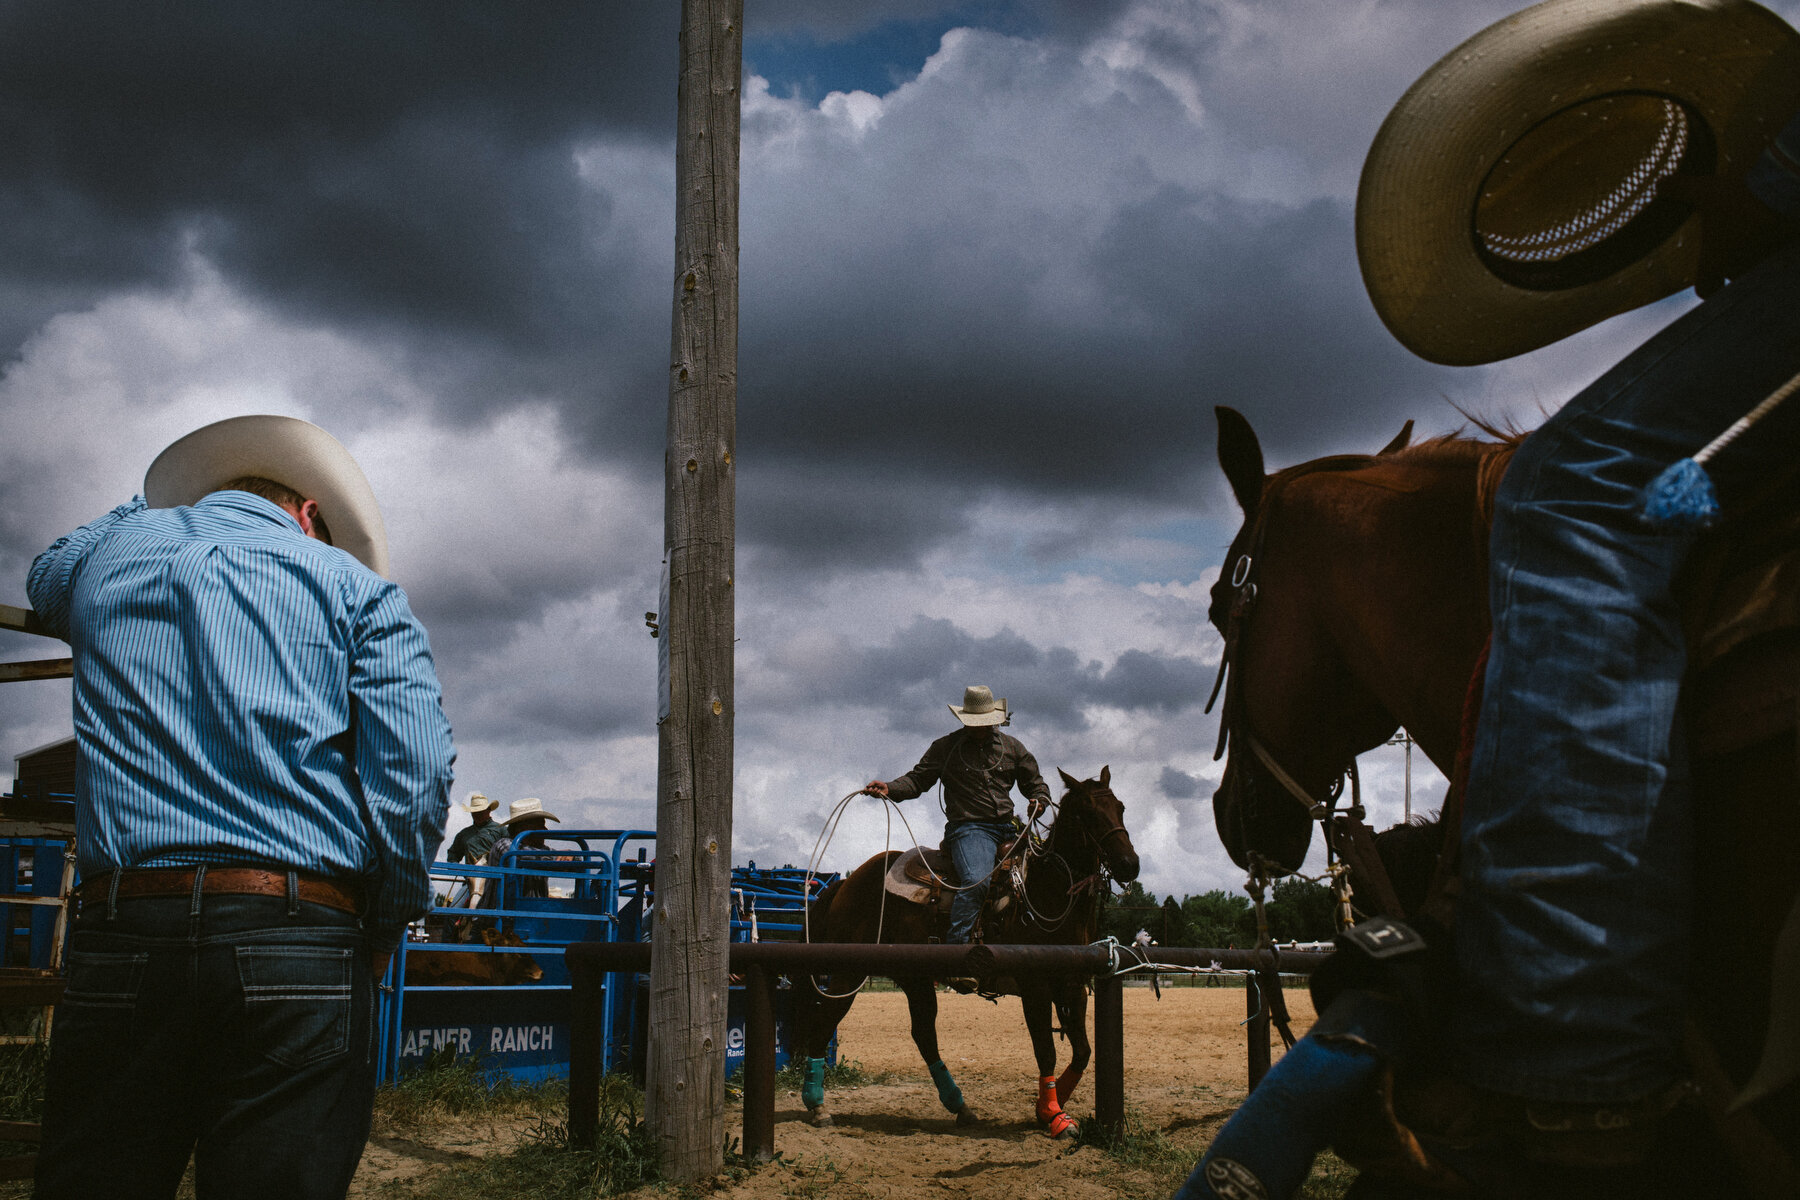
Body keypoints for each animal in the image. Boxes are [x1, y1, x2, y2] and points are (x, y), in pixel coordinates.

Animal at [802, 770, 1137, 1137]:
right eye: (1086, 812)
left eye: (1120, 808)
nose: (1129, 864)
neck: (1045, 892)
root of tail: (846, 884)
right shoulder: (1034, 987)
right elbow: (1046, 1052)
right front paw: (1054, 1115)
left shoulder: (1073, 986)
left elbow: (1083, 1052)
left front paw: (1046, 1108)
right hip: (850, 972)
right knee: (824, 1020)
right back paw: (816, 1105)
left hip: (915, 977)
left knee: (924, 1035)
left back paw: (959, 1106)